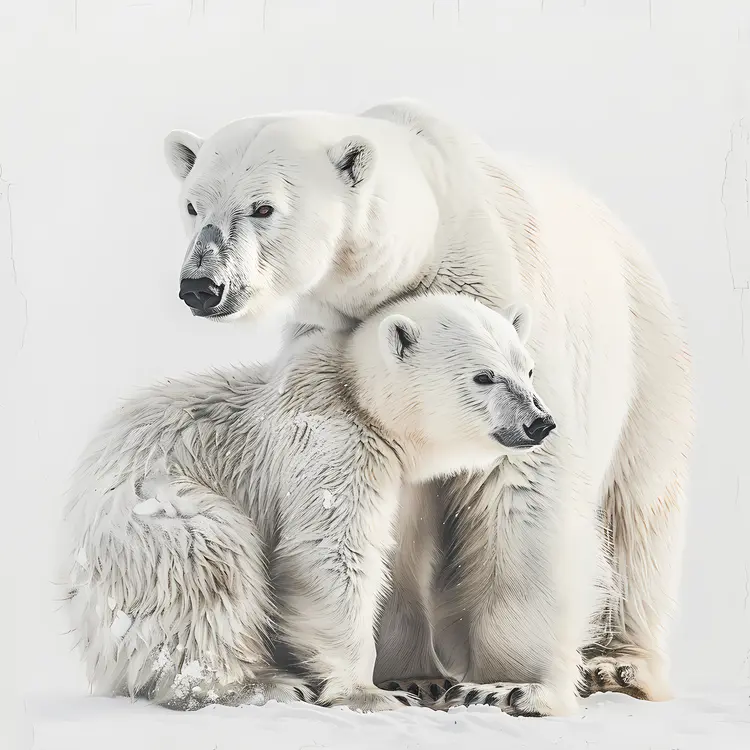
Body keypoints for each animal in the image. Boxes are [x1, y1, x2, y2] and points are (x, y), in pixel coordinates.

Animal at [59, 292, 553, 712]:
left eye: (528, 370)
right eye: (484, 376)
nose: (539, 422)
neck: (351, 391)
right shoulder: (330, 443)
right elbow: (331, 553)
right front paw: (373, 693)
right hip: (142, 520)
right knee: (207, 564)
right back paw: (263, 684)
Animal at [162, 98, 693, 716]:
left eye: (263, 207)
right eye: (192, 204)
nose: (201, 286)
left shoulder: (504, 308)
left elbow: (520, 486)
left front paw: (509, 686)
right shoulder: (342, 350)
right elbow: (387, 516)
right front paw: (409, 677)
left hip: (646, 357)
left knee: (638, 510)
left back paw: (618, 664)